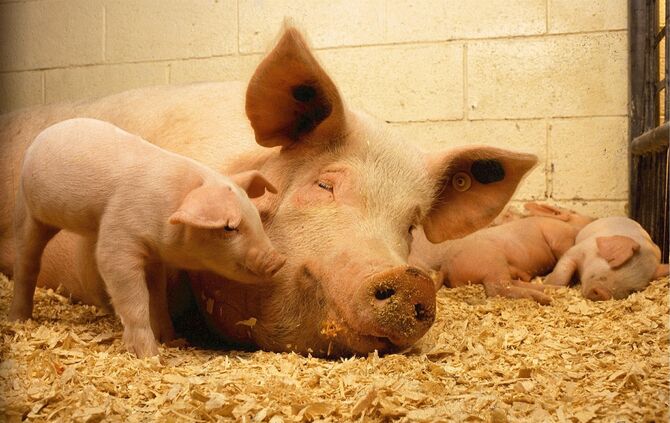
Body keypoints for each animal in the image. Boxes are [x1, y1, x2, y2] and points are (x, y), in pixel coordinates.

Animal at [8, 118, 285, 357]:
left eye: (255, 216)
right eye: (229, 228)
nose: (278, 260)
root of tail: (41, 137)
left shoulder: (154, 257)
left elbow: (158, 297)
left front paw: (172, 340)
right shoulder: (118, 236)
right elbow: (134, 297)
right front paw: (150, 355)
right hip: (30, 213)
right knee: (26, 262)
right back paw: (19, 319)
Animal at [409, 202, 595, 304]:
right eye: (575, 213)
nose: (593, 219)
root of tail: (445, 268)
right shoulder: (558, 236)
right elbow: (562, 251)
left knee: (511, 283)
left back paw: (550, 291)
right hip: (493, 262)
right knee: (497, 288)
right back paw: (546, 298)